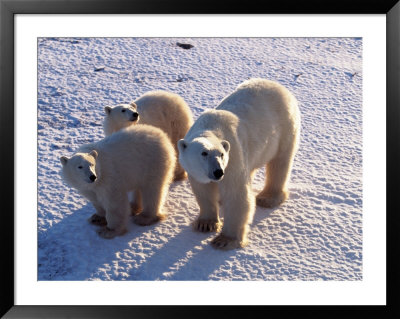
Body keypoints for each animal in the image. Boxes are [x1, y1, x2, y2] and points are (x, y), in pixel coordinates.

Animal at [178, 79, 300, 251]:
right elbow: (204, 191)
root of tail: (281, 87)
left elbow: (237, 194)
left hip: (284, 127)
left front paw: (224, 240)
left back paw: (267, 198)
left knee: (279, 163)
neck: (210, 127)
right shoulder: (196, 172)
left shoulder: (233, 159)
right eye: (204, 153)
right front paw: (205, 224)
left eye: (221, 154)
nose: (218, 172)